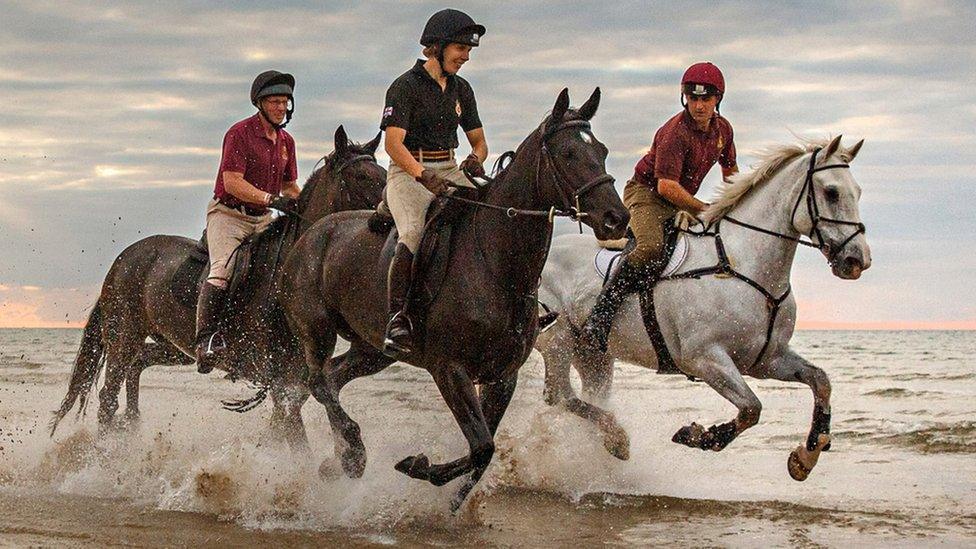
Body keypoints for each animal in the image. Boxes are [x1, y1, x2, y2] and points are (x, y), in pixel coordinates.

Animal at [50, 128, 386, 450]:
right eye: (362, 177)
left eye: (383, 172)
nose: (387, 216)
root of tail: (123, 259)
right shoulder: (281, 381)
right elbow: (295, 437)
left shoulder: (296, 382)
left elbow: (284, 428)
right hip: (124, 336)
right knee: (108, 397)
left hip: (174, 346)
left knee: (138, 366)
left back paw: (132, 426)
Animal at [278, 86, 628, 510]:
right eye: (568, 153)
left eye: (603, 151)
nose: (616, 218)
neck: (495, 265)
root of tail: (311, 232)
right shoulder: (450, 369)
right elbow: (481, 447)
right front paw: (417, 467)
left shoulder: (501, 375)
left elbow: (483, 452)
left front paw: (447, 497)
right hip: (316, 329)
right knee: (317, 381)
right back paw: (354, 455)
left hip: (372, 349)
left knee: (331, 378)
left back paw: (338, 458)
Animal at [536, 134, 872, 480]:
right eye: (831, 192)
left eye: (858, 192)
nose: (856, 260)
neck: (744, 266)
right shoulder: (705, 359)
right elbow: (751, 408)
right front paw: (699, 435)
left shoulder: (767, 360)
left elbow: (820, 381)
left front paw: (805, 457)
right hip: (558, 340)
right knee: (558, 394)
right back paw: (617, 439)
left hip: (594, 355)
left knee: (588, 394)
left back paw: (609, 444)